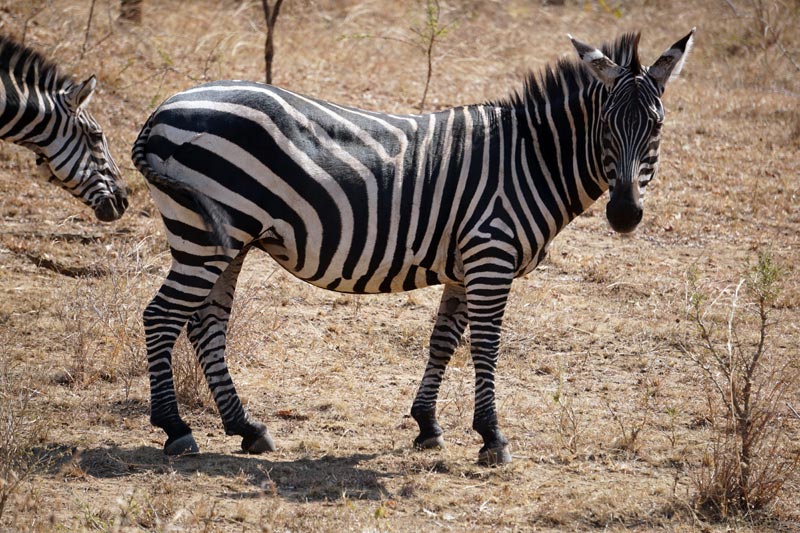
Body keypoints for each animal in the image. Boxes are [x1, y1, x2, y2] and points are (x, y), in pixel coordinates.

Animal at [132, 29, 694, 464]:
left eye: (657, 126)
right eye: (605, 127)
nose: (625, 215)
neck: (530, 159)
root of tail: (162, 110)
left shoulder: (465, 265)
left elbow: (443, 340)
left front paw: (427, 424)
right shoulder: (491, 253)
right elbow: (485, 345)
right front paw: (492, 437)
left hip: (228, 241)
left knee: (206, 325)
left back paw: (247, 428)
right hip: (203, 237)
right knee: (161, 316)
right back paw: (175, 429)